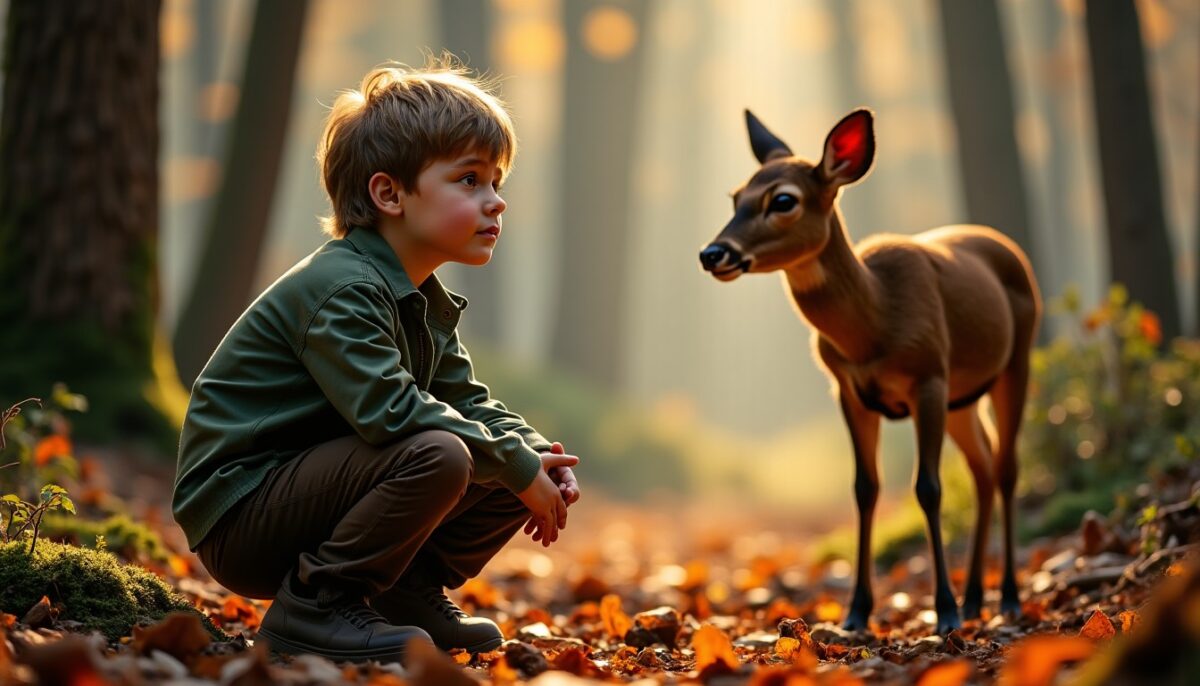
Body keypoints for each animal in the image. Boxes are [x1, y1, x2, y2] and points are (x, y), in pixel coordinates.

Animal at [700, 109, 1041, 634]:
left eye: (783, 200)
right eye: (736, 196)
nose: (713, 253)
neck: (875, 322)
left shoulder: (928, 376)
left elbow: (928, 488)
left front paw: (943, 611)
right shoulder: (849, 391)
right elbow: (864, 489)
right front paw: (856, 612)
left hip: (1016, 358)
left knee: (1006, 469)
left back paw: (1005, 599)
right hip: (963, 399)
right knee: (982, 469)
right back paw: (975, 600)